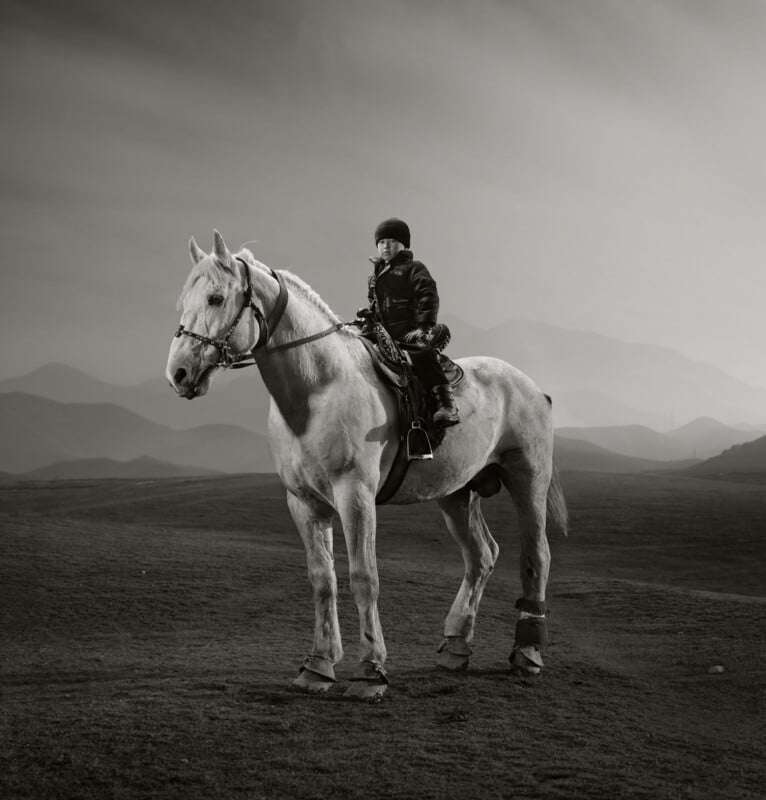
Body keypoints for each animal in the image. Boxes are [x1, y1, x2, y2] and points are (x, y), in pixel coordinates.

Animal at [166, 230, 568, 699]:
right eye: (184, 300)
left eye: (215, 298)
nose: (178, 373)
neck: (319, 388)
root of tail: (533, 387)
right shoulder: (304, 504)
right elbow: (322, 579)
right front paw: (318, 666)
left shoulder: (354, 495)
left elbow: (364, 577)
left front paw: (370, 671)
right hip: (457, 494)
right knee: (482, 556)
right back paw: (455, 646)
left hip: (528, 480)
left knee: (536, 556)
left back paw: (528, 653)